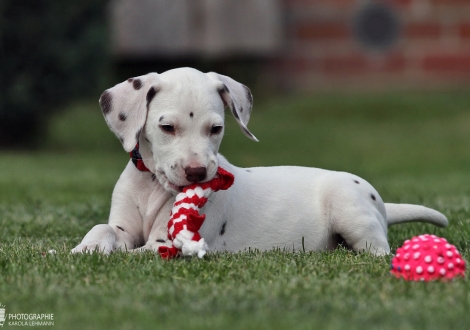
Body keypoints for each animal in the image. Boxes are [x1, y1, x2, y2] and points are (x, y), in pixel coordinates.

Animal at [70, 67, 448, 255]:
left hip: (352, 211)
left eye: (216, 128)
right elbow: (104, 229)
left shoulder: (162, 244)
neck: (152, 186)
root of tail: (380, 202)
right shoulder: (123, 227)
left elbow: (132, 255)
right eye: (167, 127)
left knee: (378, 250)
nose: (197, 173)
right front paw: (86, 247)